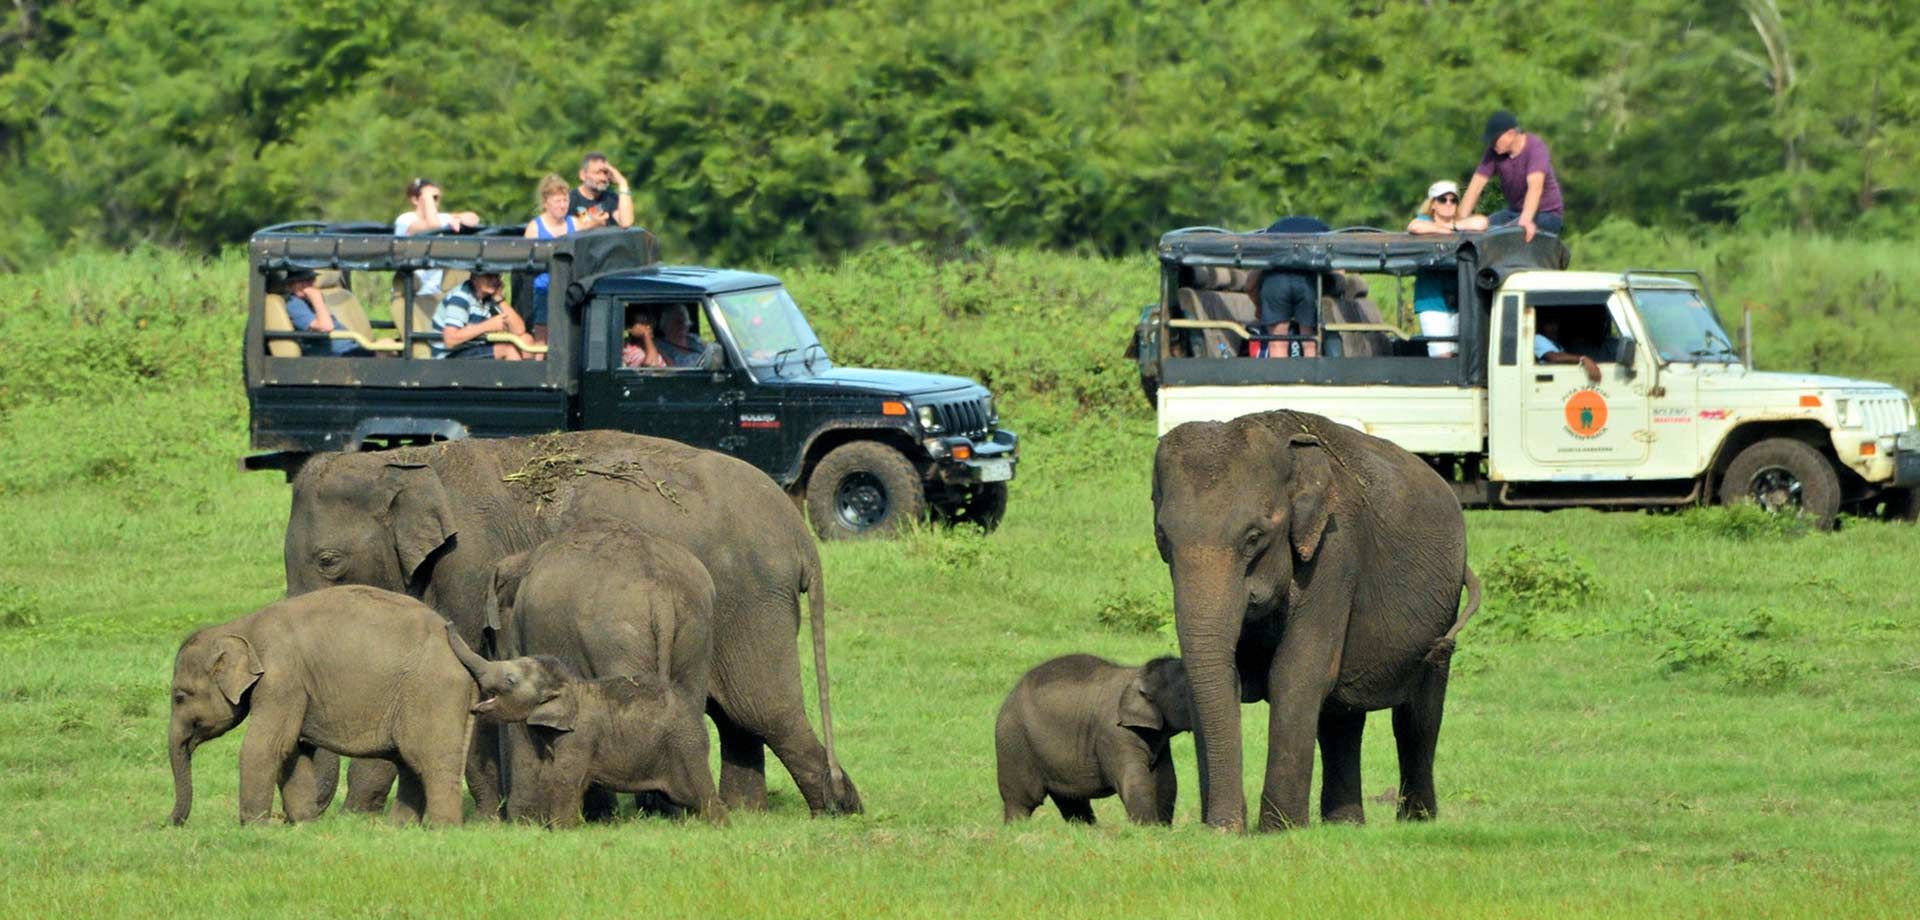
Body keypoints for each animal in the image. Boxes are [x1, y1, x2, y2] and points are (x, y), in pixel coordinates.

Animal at [168, 585, 476, 826]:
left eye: (179, 697)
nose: (168, 823)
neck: (240, 628)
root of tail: (462, 652)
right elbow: (292, 750)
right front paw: (305, 823)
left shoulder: (283, 680)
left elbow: (267, 745)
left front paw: (253, 826)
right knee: (409, 763)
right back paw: (399, 829)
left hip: (431, 692)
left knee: (431, 759)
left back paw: (442, 829)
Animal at [446, 625, 726, 826]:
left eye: (510, 680)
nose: (449, 623)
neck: (569, 685)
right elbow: (548, 775)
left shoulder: (579, 736)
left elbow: (563, 778)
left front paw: (561, 831)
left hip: (685, 745)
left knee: (701, 794)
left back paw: (720, 825)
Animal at [994, 655, 1193, 825]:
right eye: (1187, 693)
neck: (1138, 674)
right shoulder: (1114, 733)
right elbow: (1136, 780)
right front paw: (1147, 830)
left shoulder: (1159, 738)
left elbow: (1167, 781)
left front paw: (1162, 829)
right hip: (1013, 742)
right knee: (1022, 800)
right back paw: (1017, 828)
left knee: (1072, 802)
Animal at [1152, 410, 1480, 832]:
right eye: (1163, 537)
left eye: (1254, 537)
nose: (1224, 825)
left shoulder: (1336, 552)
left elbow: (1297, 674)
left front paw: (1279, 829)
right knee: (1343, 716)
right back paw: (1346, 824)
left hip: (1444, 608)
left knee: (1417, 717)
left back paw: (1416, 821)